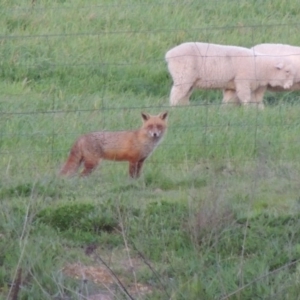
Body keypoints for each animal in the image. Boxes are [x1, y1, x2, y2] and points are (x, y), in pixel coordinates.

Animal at [165, 42, 296, 108]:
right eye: (287, 71)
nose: (290, 86)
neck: (262, 67)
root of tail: (169, 54)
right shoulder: (243, 81)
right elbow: (245, 98)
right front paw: (246, 110)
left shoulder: (232, 86)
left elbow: (229, 100)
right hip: (183, 75)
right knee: (176, 93)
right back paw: (174, 108)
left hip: (189, 80)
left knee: (184, 95)